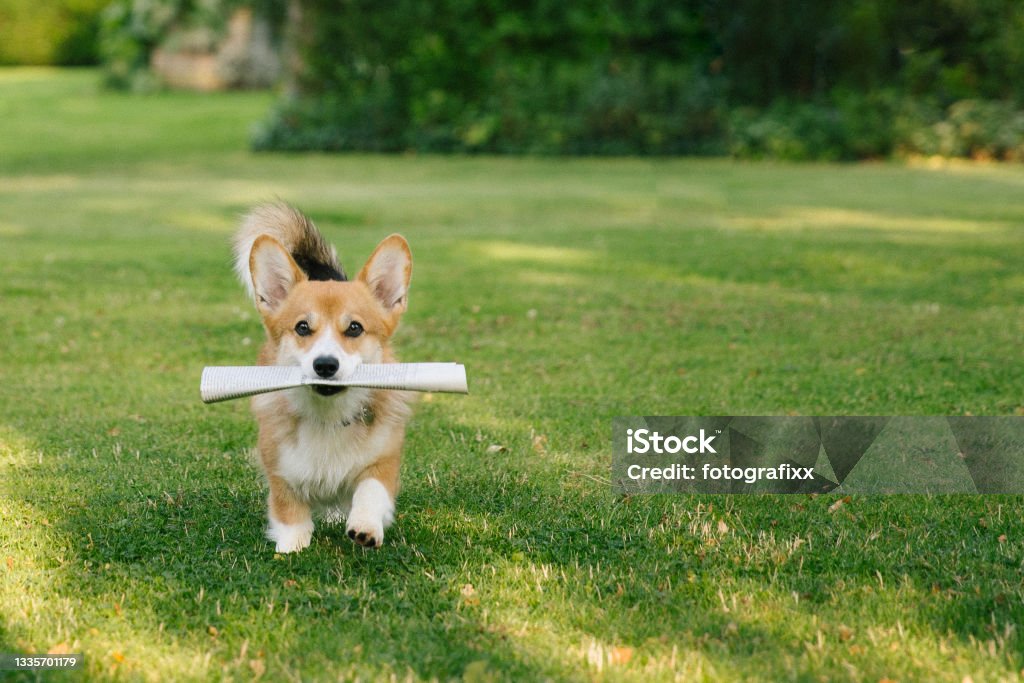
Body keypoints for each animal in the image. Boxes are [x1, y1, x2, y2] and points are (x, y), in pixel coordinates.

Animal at [235, 204, 411, 557]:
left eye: (355, 328)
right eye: (302, 327)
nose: (325, 365)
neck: (328, 416)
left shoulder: (384, 461)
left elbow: (371, 490)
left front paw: (366, 527)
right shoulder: (280, 470)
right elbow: (290, 512)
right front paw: (291, 547)